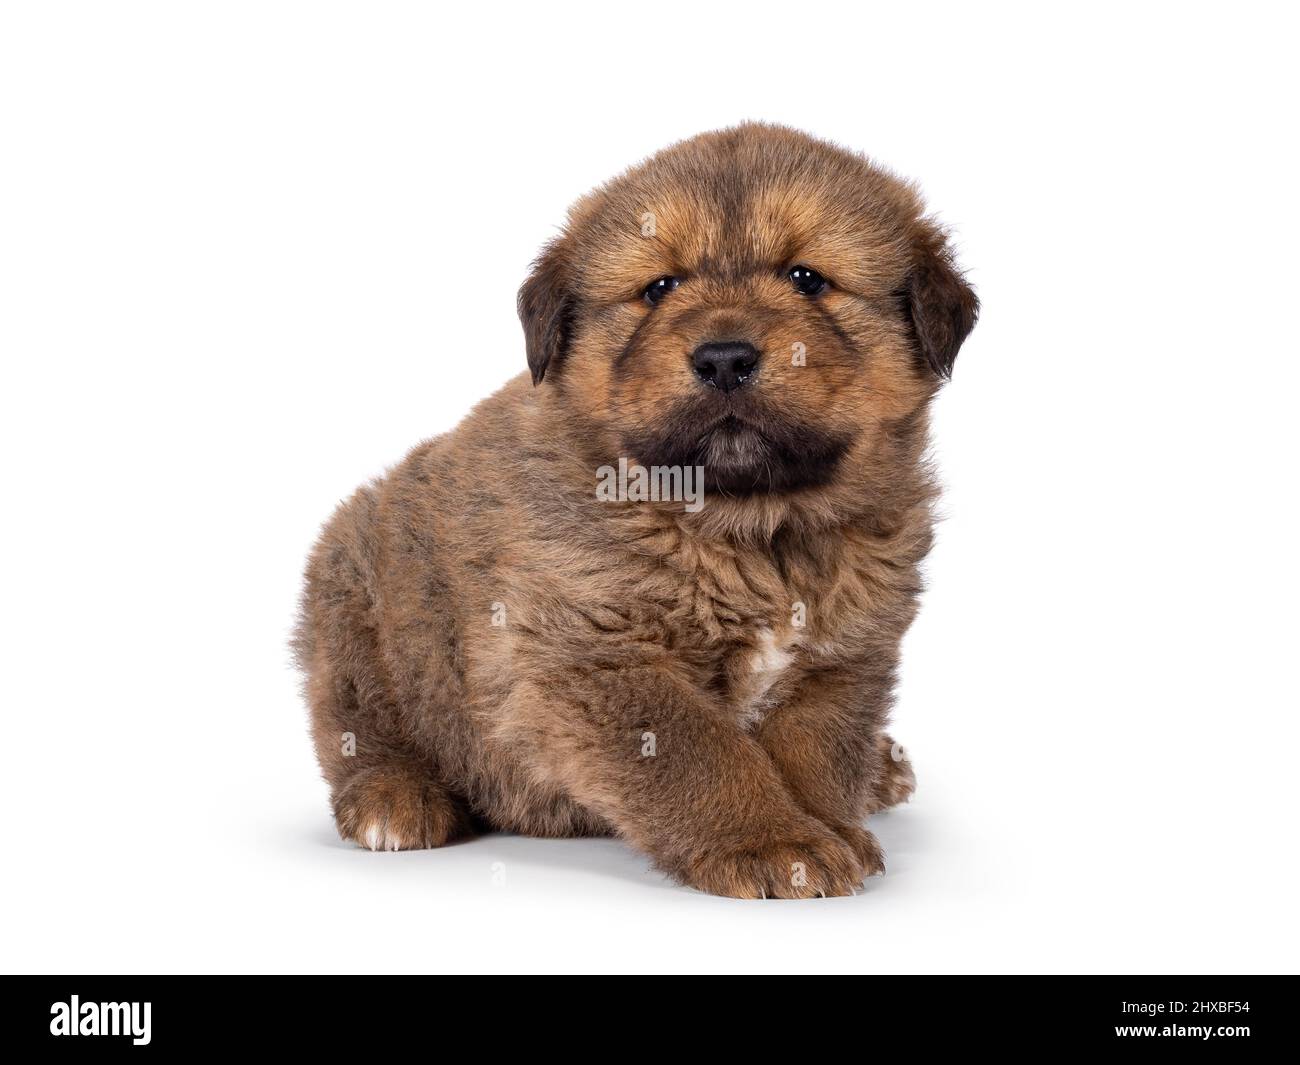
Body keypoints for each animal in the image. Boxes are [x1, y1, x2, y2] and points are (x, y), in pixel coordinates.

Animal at [295, 124, 977, 899]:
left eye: (807, 279)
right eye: (659, 287)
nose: (724, 358)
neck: (751, 527)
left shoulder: (845, 658)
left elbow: (818, 753)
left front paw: (832, 830)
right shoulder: (595, 653)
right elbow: (700, 753)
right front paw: (773, 842)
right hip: (358, 593)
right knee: (356, 723)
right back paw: (393, 799)